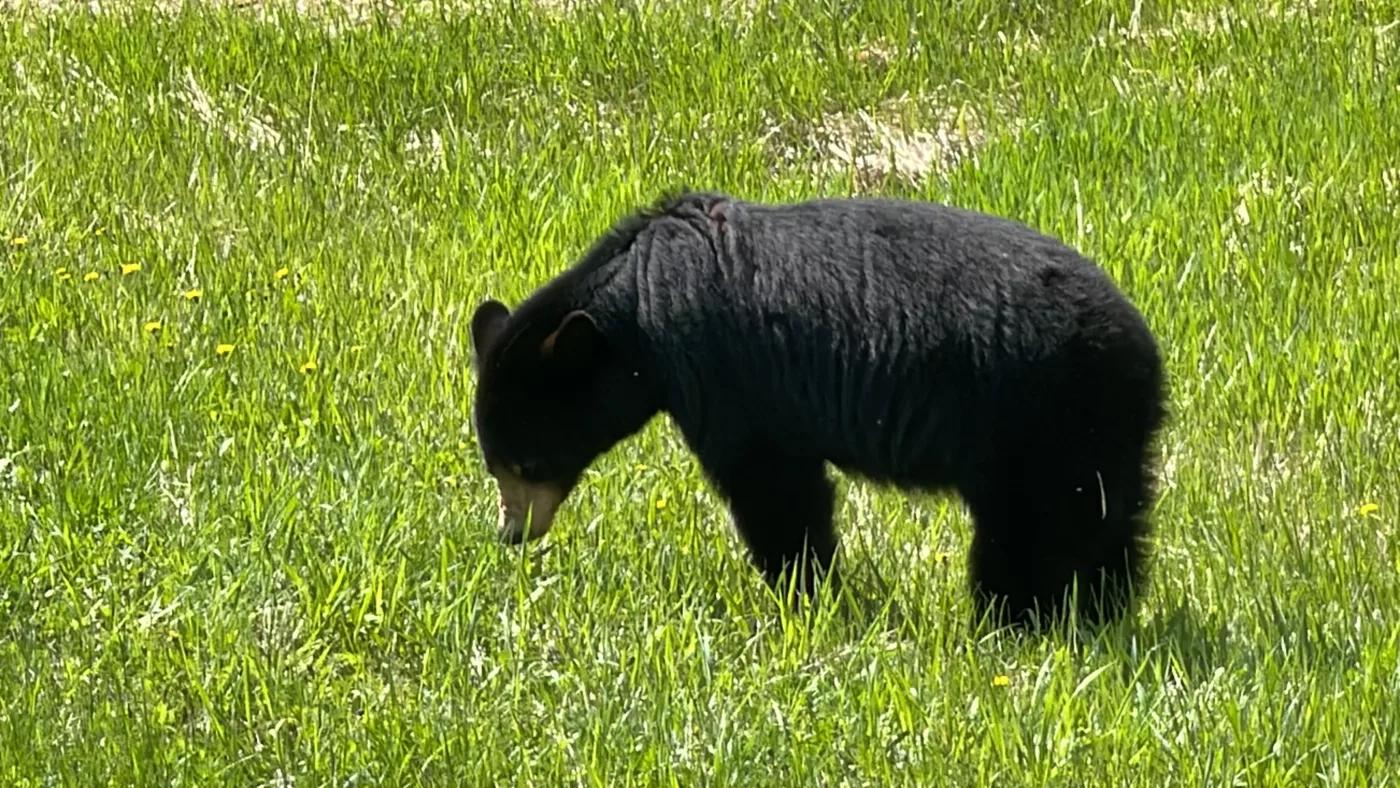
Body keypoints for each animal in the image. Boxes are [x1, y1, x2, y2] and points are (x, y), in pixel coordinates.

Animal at [464, 191, 1164, 629]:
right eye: (493, 463)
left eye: (526, 463)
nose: (512, 533)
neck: (639, 303)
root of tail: (1140, 348)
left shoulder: (726, 375)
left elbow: (772, 485)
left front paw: (802, 591)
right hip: (1098, 434)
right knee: (1113, 519)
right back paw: (1099, 611)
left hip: (1032, 422)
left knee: (1033, 530)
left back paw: (1014, 619)